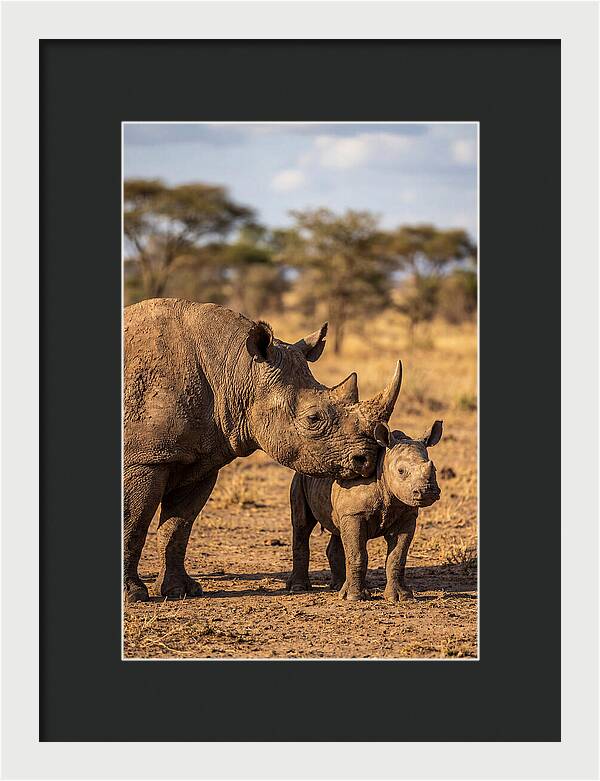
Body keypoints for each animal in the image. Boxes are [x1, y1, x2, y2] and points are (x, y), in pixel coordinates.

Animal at [124, 298, 402, 603]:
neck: (236, 370)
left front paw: (180, 591)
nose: (367, 459)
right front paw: (134, 595)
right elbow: (133, 521)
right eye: (313, 419)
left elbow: (178, 526)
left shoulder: (201, 459)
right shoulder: (145, 459)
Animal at [286, 412, 443, 602]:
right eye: (401, 471)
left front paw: (401, 597)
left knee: (337, 530)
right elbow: (358, 554)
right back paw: (299, 587)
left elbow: (397, 557)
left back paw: (338, 586)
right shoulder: (355, 514)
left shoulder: (406, 515)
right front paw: (354, 597)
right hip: (300, 477)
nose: (427, 492)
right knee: (302, 525)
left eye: (434, 469)